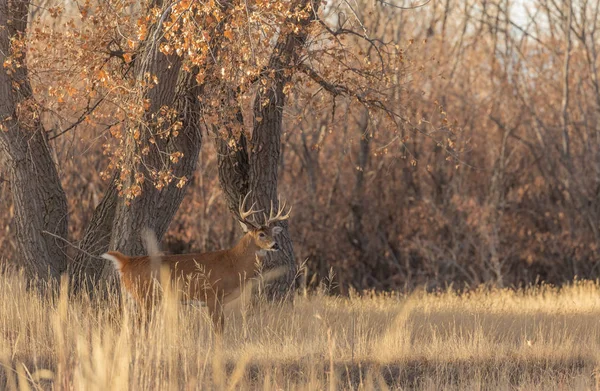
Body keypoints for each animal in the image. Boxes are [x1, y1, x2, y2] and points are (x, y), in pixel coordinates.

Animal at [101, 194, 290, 334]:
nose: (276, 245)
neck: (233, 263)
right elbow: (218, 327)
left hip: (135, 297)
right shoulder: (212, 295)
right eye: (261, 234)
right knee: (139, 323)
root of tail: (126, 262)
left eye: (272, 233)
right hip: (145, 295)